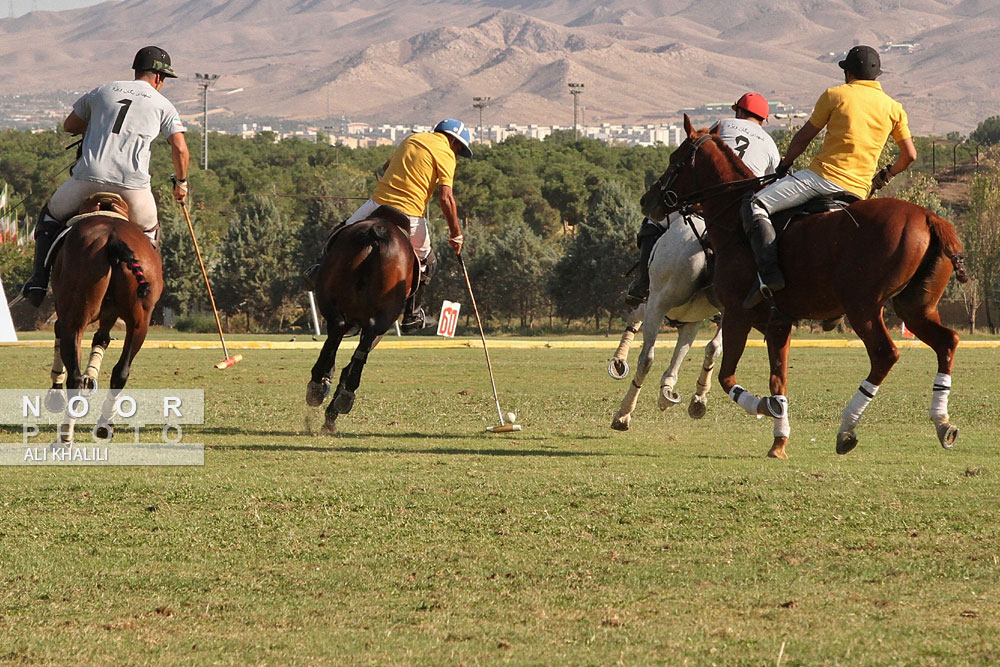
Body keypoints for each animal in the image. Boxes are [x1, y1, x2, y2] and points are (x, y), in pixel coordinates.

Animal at [47, 193, 162, 444]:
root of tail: (114, 239)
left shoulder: (66, 315)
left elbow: (61, 334)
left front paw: (55, 394)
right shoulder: (111, 314)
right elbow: (102, 339)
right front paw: (92, 377)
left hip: (76, 317)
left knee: (75, 376)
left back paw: (65, 437)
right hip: (140, 323)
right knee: (121, 372)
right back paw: (104, 425)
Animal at [302, 205, 416, 434]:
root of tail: (377, 234)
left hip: (334, 299)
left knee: (337, 333)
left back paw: (321, 386)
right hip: (379, 318)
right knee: (350, 340)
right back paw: (335, 392)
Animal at [604, 214, 724, 434]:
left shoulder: (654, 304)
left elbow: (634, 316)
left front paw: (619, 361)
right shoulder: (690, 320)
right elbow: (679, 356)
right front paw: (667, 393)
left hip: (658, 302)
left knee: (646, 359)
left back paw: (623, 414)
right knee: (714, 347)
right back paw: (698, 401)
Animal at [640, 116, 968, 460]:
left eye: (675, 160)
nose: (647, 200)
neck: (732, 218)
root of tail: (929, 217)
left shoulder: (736, 315)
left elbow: (727, 377)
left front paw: (764, 407)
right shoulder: (777, 323)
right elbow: (778, 379)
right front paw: (779, 440)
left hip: (862, 306)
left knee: (884, 354)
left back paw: (847, 428)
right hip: (915, 307)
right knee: (947, 341)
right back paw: (943, 422)